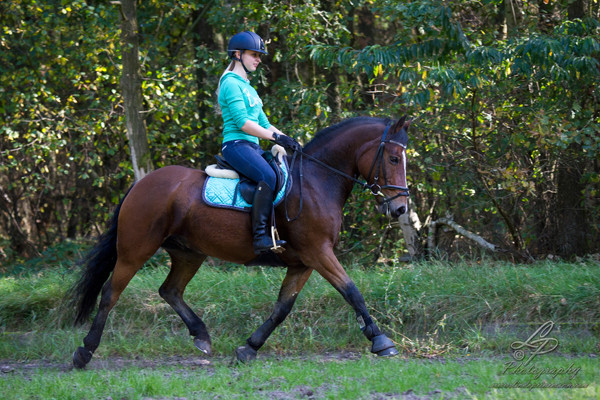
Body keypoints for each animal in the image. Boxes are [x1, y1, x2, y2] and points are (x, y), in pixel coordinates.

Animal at [68, 114, 410, 368]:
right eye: (394, 158)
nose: (400, 208)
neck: (316, 181)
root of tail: (140, 184)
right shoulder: (318, 252)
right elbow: (352, 291)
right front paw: (381, 341)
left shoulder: (303, 262)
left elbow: (282, 307)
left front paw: (249, 347)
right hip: (135, 249)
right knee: (110, 293)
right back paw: (84, 351)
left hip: (188, 253)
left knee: (170, 290)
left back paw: (201, 335)